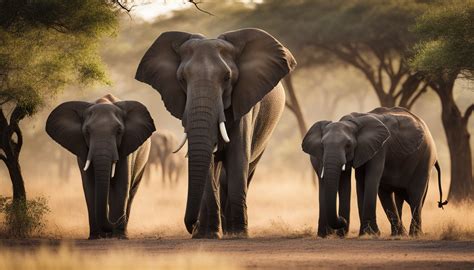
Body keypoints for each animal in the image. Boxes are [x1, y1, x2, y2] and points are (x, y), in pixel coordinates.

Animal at [45, 93, 155, 238]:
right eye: (87, 131)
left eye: (119, 131)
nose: (114, 224)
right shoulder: (82, 149)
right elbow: (90, 186)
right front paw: (95, 236)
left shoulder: (127, 147)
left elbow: (121, 185)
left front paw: (119, 237)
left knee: (131, 192)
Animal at [135, 28, 294, 237]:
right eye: (182, 79)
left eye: (227, 78)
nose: (190, 226)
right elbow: (208, 162)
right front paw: (208, 235)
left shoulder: (245, 103)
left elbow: (237, 158)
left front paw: (238, 235)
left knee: (247, 169)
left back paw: (229, 230)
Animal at [302, 106, 446, 237]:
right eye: (322, 145)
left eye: (348, 145)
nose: (342, 221)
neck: (351, 122)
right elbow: (359, 180)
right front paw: (363, 234)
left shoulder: (379, 148)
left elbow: (371, 178)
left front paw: (370, 233)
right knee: (391, 194)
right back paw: (399, 234)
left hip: (425, 159)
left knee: (416, 194)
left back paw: (414, 235)